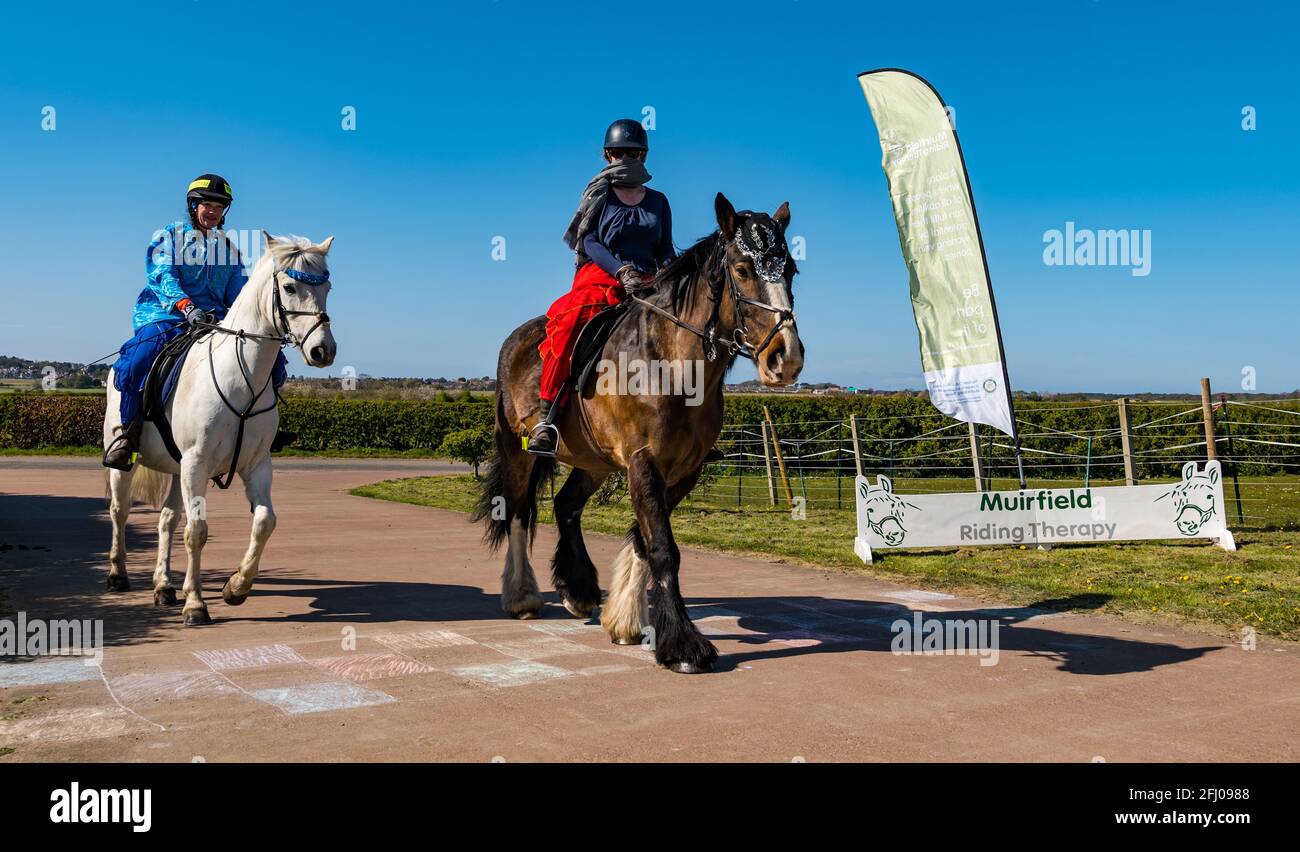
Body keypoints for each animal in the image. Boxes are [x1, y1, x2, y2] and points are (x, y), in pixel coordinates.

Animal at [104, 232, 338, 626]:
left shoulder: (255, 465)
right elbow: (197, 532)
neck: (240, 378)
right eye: (289, 287)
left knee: (167, 519)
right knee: (120, 511)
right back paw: (118, 575)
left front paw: (236, 587)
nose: (323, 350)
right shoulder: (197, 463)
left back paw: (163, 586)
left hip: (176, 468)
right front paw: (196, 605)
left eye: (328, 287)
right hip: (129, 463)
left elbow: (265, 521)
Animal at [478, 193, 800, 671]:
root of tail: (516, 338)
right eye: (743, 269)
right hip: (519, 450)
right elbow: (663, 547)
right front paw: (683, 645)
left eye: (791, 269)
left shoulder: (681, 470)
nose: (787, 358)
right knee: (518, 511)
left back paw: (578, 590)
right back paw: (522, 597)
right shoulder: (643, 460)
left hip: (592, 461)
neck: (671, 362)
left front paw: (628, 621)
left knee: (566, 505)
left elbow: (646, 538)